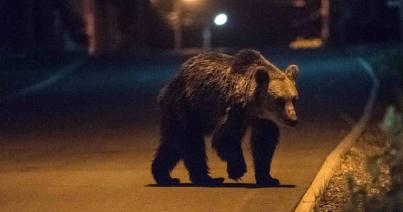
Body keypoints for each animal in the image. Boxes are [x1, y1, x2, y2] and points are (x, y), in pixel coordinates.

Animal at [152, 48, 300, 186]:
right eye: (280, 100)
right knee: (187, 140)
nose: (293, 119)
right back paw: (201, 178)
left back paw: (170, 176)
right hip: (185, 107)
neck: (254, 106)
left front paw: (268, 178)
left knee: (176, 143)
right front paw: (238, 170)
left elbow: (264, 142)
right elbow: (225, 137)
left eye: (294, 99)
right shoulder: (236, 109)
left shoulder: (263, 119)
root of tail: (168, 85)